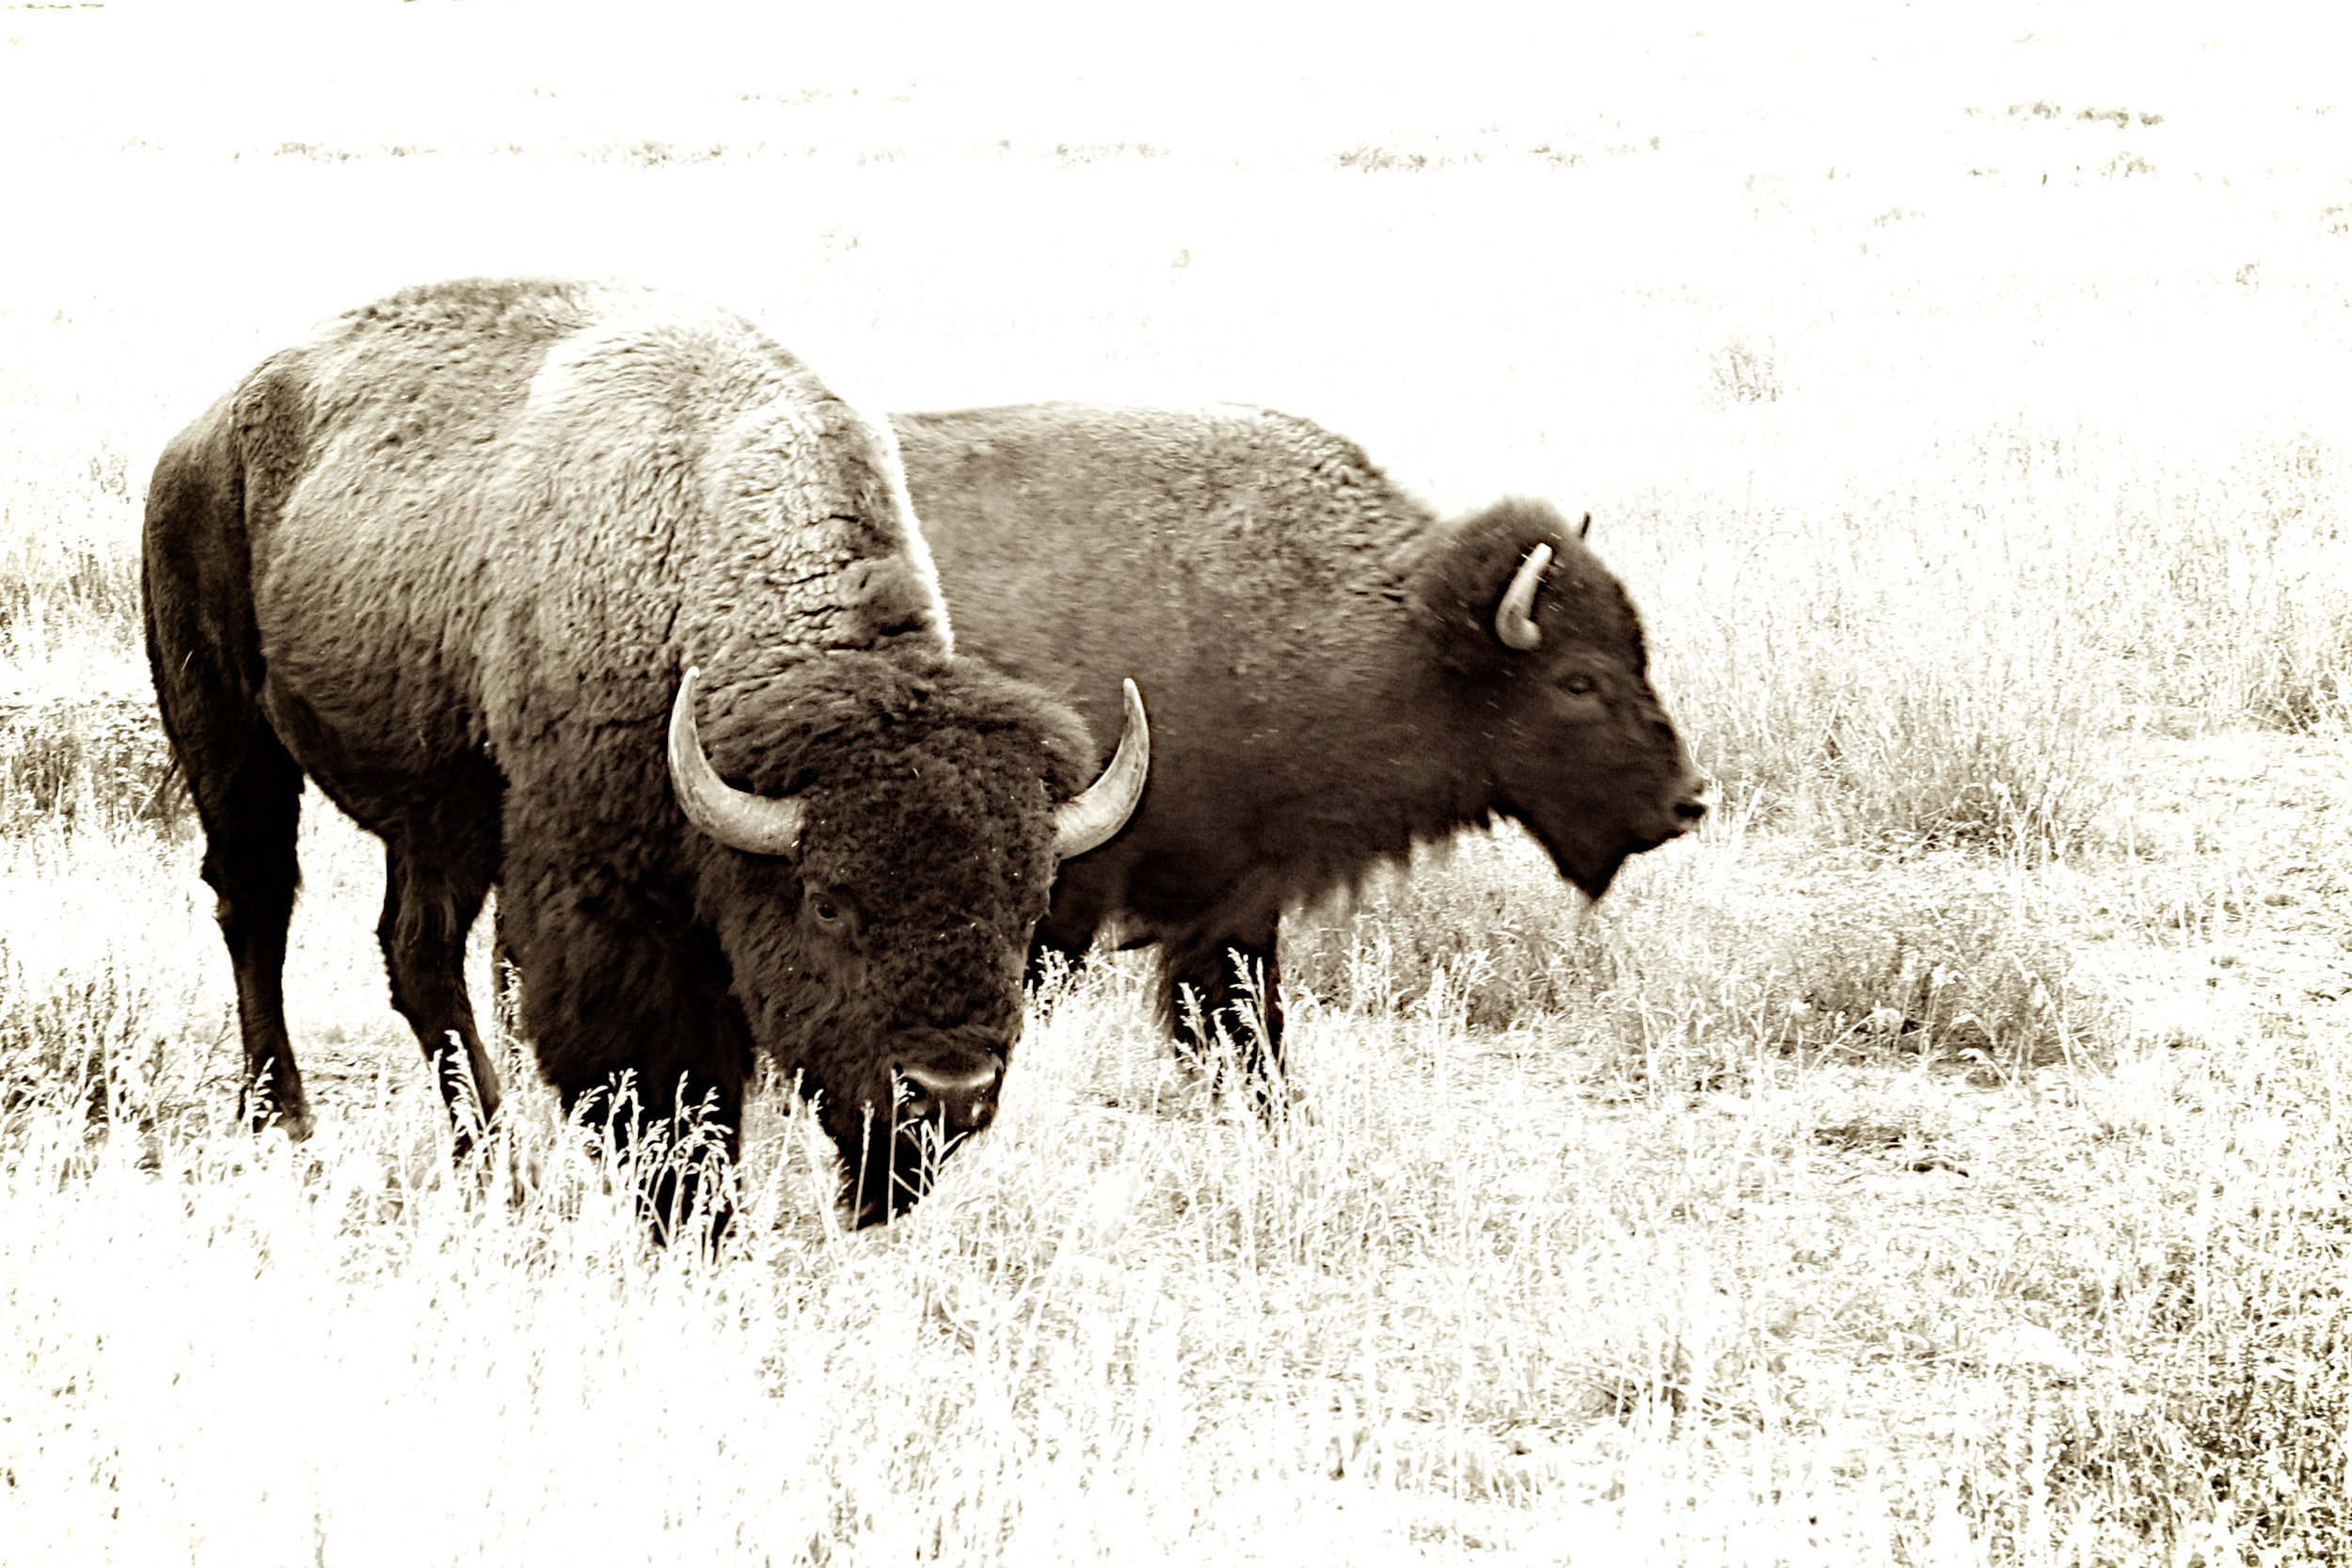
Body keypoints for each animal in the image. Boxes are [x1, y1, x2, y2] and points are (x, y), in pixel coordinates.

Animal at [142, 278, 1148, 1230]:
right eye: (828, 902)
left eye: (1028, 906)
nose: (949, 1090)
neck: (692, 552)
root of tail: (199, 438)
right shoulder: (608, 898)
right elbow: (661, 1077)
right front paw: (694, 1219)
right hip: (230, 737)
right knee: (257, 903)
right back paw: (284, 1116)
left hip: (440, 808)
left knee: (416, 951)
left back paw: (491, 1158)